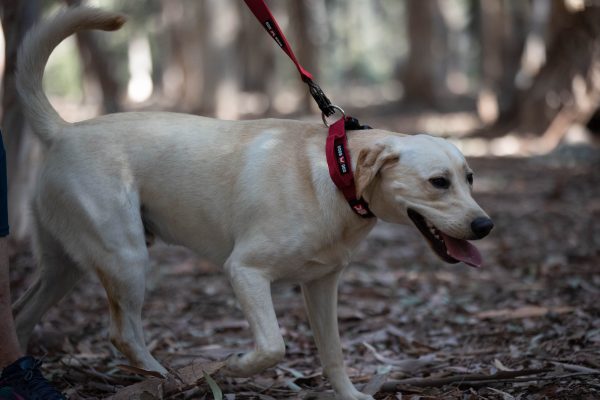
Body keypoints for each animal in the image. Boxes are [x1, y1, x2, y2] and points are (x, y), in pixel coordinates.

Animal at [14, 7, 492, 400]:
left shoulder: (322, 285)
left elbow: (333, 353)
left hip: (65, 268)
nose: (485, 226)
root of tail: (63, 130)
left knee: (20, 316)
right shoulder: (245, 271)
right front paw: (236, 366)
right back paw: (169, 379)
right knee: (123, 335)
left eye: (469, 178)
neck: (334, 175)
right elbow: (273, 347)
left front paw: (350, 395)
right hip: (126, 258)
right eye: (438, 182)